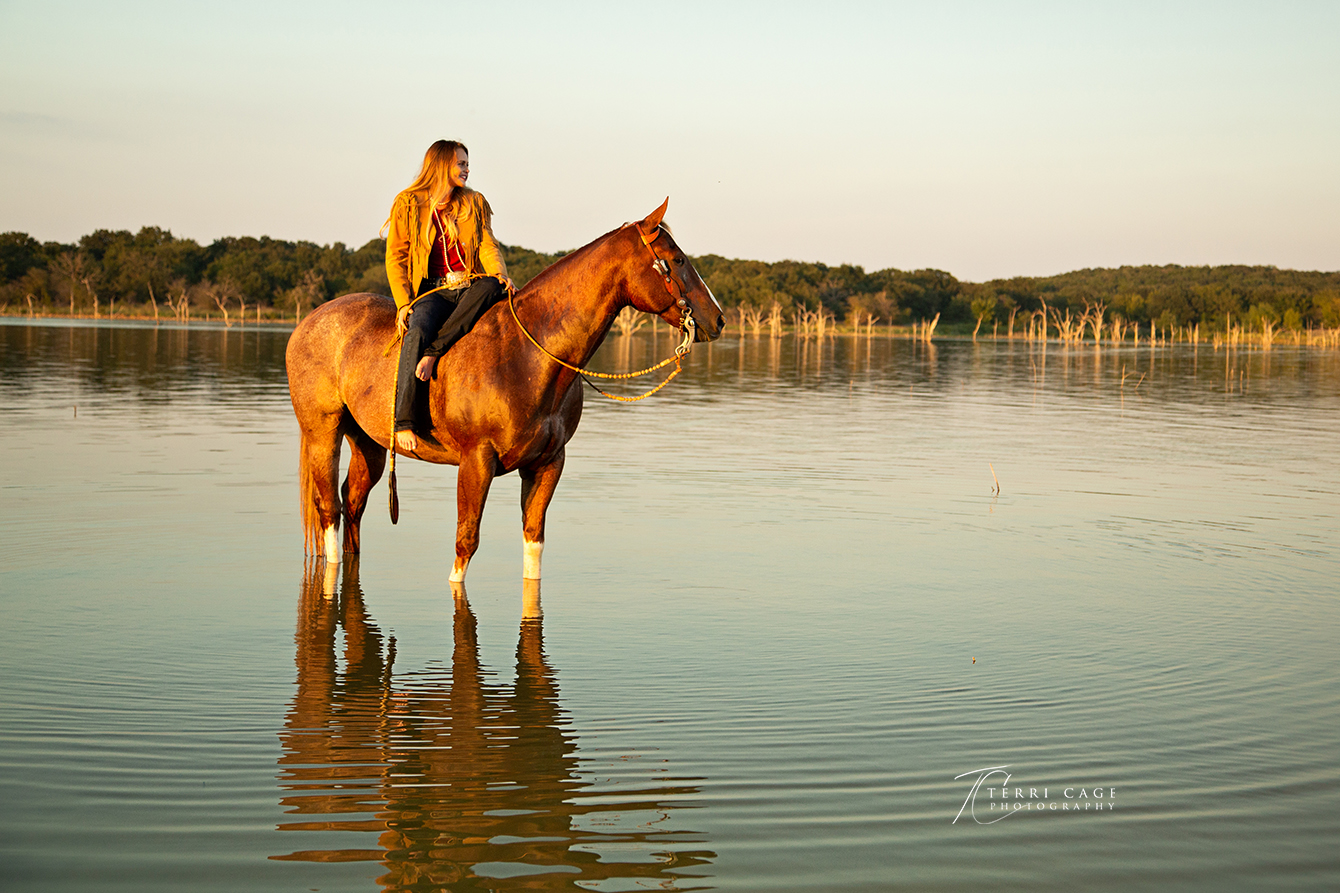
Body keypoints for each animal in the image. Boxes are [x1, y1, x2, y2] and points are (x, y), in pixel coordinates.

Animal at [282, 198, 723, 581]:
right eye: (677, 260)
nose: (716, 320)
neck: (528, 353)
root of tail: (309, 321)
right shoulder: (476, 462)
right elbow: (465, 546)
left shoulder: (548, 464)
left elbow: (533, 547)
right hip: (323, 434)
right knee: (329, 509)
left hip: (369, 443)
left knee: (352, 505)